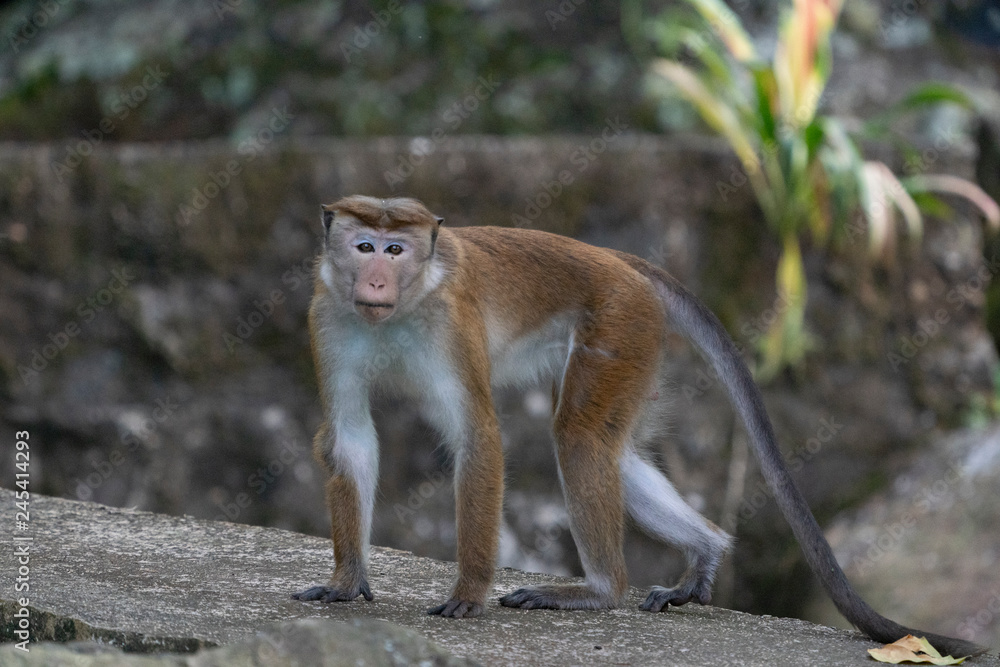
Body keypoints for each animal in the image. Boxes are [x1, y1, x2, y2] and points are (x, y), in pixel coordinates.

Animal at [291, 195, 984, 658]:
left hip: (620, 323)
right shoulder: (327, 315)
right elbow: (350, 437)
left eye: (396, 248)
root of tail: (617, 259)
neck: (401, 308)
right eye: (364, 245)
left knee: (578, 437)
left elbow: (478, 436)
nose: (374, 276)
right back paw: (705, 552)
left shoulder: (450, 323)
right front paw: (347, 581)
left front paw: (469, 590)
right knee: (611, 449)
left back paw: (602, 591)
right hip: (634, 339)